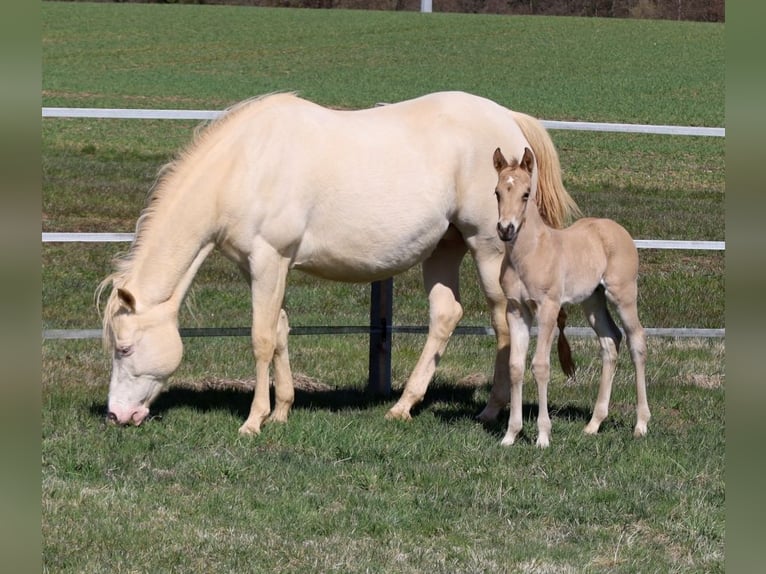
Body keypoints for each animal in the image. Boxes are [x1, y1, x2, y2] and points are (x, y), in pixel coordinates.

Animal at [97, 91, 581, 435]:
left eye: (124, 348)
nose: (116, 416)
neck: (246, 164)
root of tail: (509, 120)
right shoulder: (263, 268)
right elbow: (280, 331)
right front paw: (282, 411)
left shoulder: (269, 261)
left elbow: (261, 338)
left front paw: (254, 421)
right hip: (445, 247)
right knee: (446, 316)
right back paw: (403, 407)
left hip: (488, 247)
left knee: (503, 323)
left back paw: (492, 411)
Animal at [492, 147, 650, 448]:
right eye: (497, 192)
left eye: (526, 193)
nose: (506, 229)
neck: (531, 252)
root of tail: (617, 230)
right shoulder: (516, 310)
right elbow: (516, 366)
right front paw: (510, 435)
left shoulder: (548, 308)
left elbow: (540, 366)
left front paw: (543, 436)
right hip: (593, 300)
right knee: (610, 341)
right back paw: (594, 424)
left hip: (623, 294)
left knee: (636, 340)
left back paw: (641, 424)